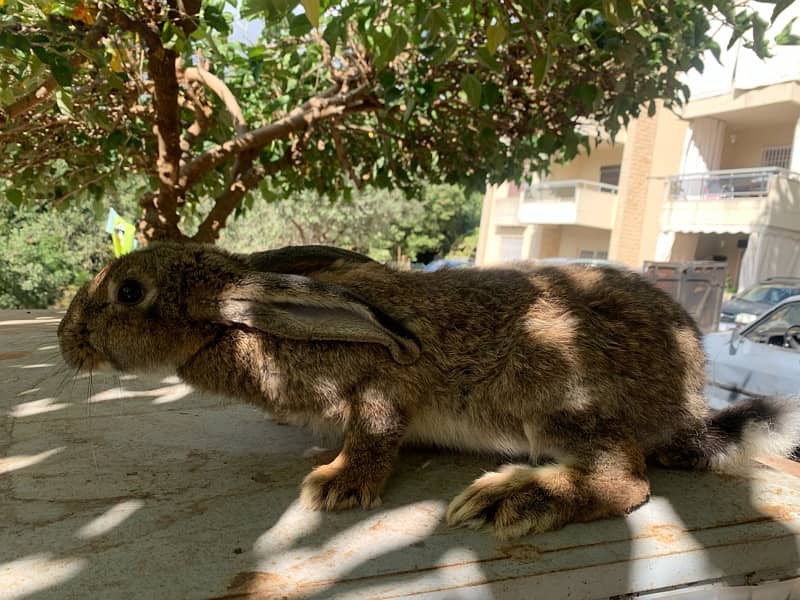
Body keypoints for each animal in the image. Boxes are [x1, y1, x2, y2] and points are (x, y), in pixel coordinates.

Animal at [57, 243, 800, 540]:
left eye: (129, 293)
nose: (67, 340)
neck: (240, 323)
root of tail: (689, 404)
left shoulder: (378, 389)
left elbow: (377, 431)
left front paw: (334, 484)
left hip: (556, 397)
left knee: (628, 479)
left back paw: (511, 500)